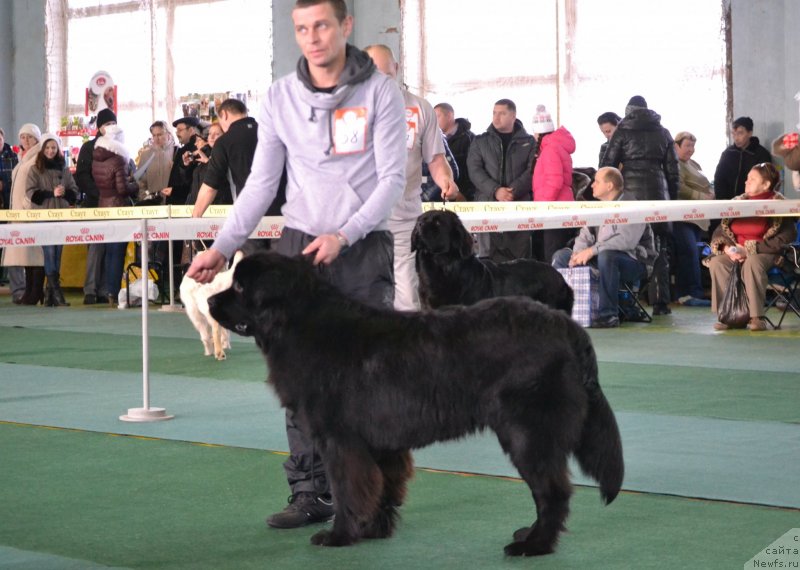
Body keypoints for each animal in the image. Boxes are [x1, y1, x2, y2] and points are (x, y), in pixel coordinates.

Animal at [211, 252, 624, 556]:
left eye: (240, 286)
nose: (211, 299)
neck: (299, 324)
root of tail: (567, 326)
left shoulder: (339, 440)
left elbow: (348, 489)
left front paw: (339, 536)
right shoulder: (377, 442)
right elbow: (381, 486)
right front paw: (375, 529)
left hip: (528, 433)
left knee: (552, 491)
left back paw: (534, 545)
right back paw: (529, 536)